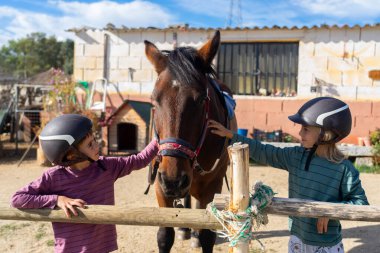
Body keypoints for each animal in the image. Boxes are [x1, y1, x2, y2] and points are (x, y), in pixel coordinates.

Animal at [144, 30, 236, 252]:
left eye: (202, 99)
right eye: (154, 100)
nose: (173, 179)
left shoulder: (212, 187)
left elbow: (207, 236)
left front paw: (199, 235)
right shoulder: (161, 185)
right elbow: (164, 236)